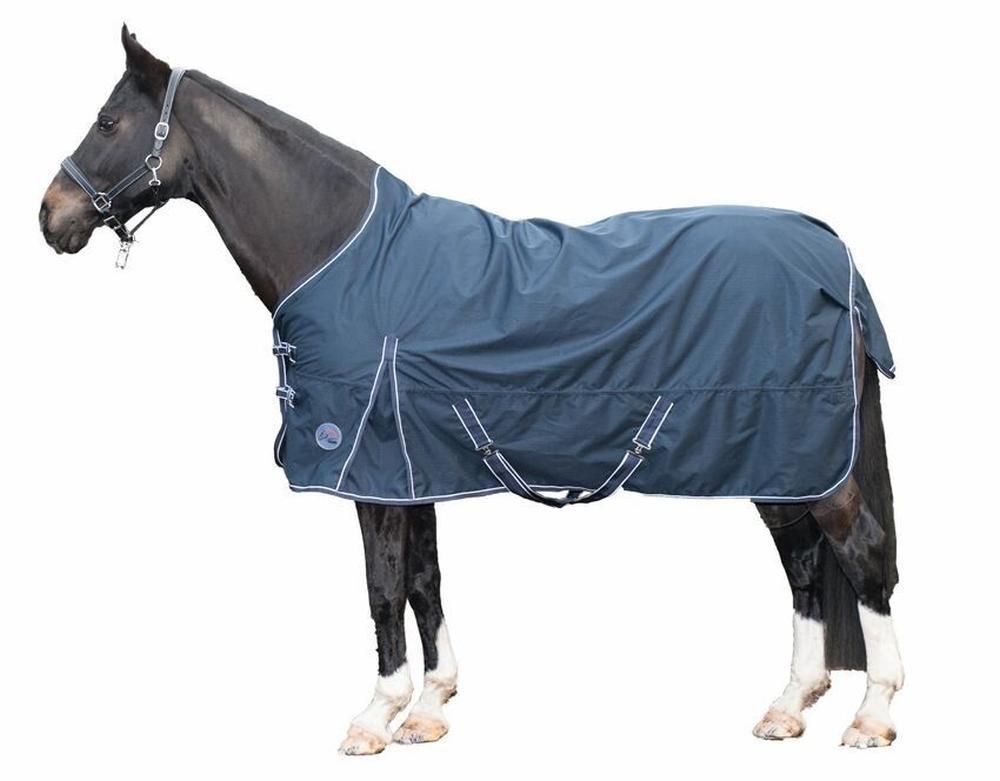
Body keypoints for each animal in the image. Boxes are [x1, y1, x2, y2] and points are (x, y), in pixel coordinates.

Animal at [39, 26, 903, 753]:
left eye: (108, 123)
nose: (51, 216)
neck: (346, 254)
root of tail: (835, 256)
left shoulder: (370, 471)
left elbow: (382, 587)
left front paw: (374, 716)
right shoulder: (413, 466)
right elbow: (424, 581)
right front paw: (430, 706)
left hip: (804, 458)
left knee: (861, 553)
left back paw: (872, 714)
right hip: (778, 459)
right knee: (802, 562)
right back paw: (789, 704)